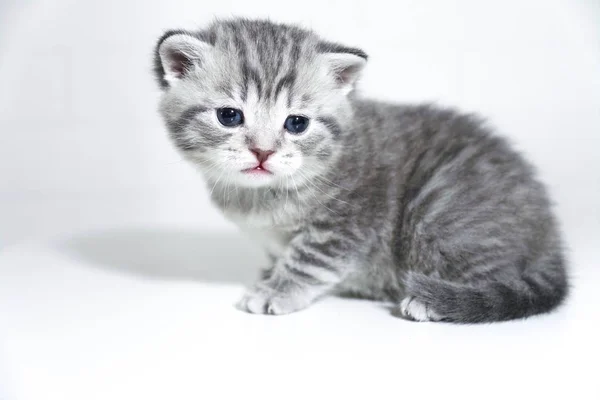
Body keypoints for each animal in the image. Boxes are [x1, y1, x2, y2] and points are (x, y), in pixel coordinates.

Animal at [154, 19, 568, 324]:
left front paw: (278, 289)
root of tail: (549, 234)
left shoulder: (350, 221)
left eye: (297, 123)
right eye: (229, 116)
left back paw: (434, 302)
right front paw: (270, 275)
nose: (263, 151)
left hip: (440, 214)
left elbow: (310, 259)